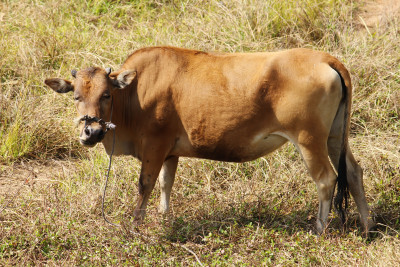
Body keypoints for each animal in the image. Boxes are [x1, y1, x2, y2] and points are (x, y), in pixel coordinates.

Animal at [44, 47, 376, 236]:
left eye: (106, 95)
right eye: (76, 96)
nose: (91, 132)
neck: (135, 93)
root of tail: (326, 58)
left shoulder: (154, 145)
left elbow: (145, 185)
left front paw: (136, 226)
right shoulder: (170, 152)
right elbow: (166, 184)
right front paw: (165, 218)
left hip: (309, 140)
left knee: (326, 179)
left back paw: (320, 229)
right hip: (335, 135)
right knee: (354, 173)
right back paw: (367, 226)